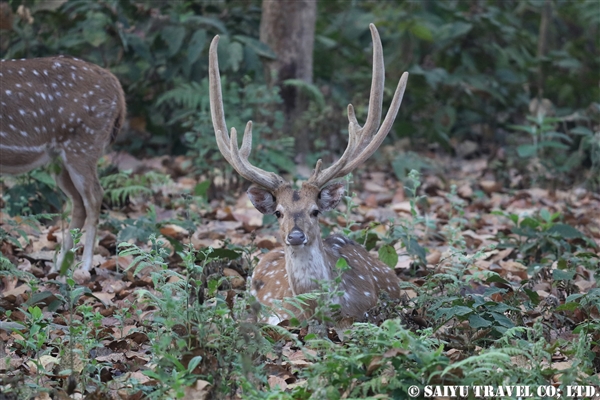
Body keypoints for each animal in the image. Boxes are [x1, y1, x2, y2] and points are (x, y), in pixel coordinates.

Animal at [0, 56, 125, 280]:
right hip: (59, 159)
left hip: (84, 143)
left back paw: (85, 267)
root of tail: (117, 88)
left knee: (95, 196)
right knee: (78, 202)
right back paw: (59, 266)